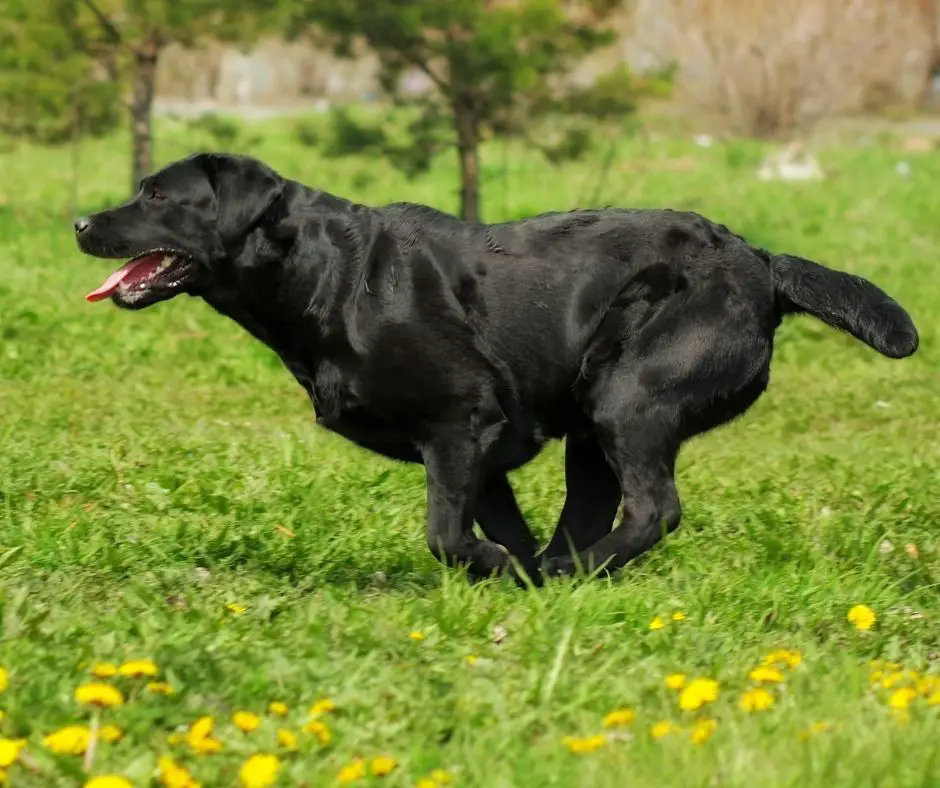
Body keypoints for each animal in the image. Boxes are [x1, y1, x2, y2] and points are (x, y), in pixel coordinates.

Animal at [73, 152, 916, 584]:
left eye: (157, 195)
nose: (79, 221)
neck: (331, 275)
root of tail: (762, 262)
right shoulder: (484, 446)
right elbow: (498, 522)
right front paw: (513, 573)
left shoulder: (459, 424)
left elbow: (446, 532)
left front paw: (496, 568)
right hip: (592, 421)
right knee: (593, 511)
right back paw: (562, 573)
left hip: (629, 395)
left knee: (654, 510)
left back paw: (577, 572)